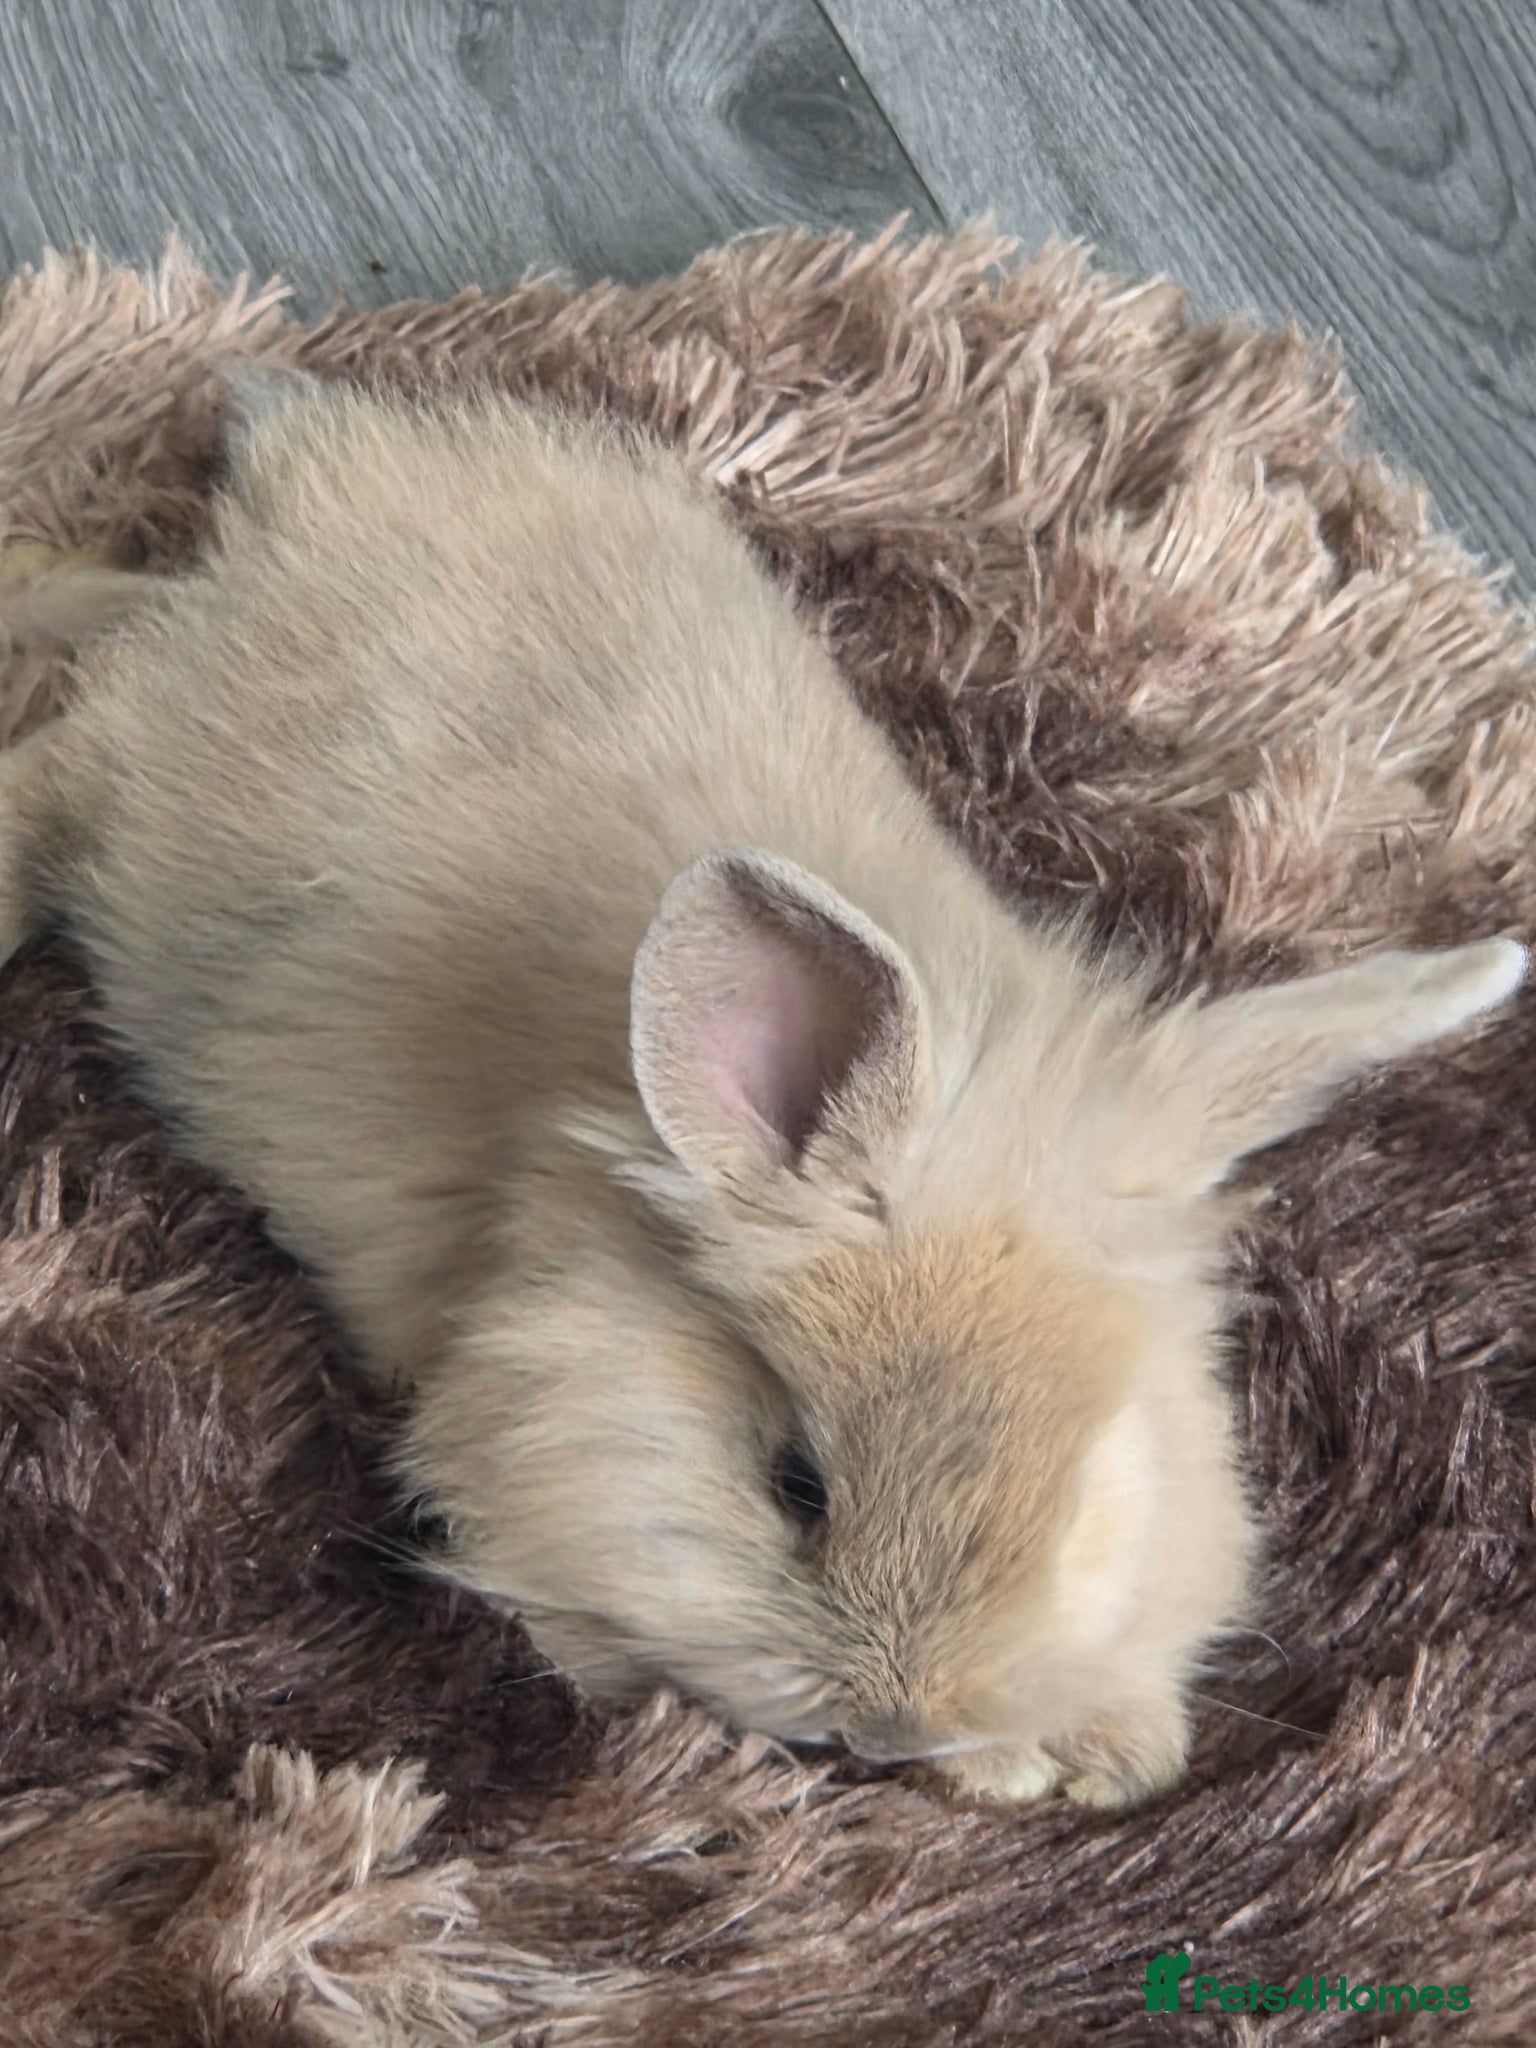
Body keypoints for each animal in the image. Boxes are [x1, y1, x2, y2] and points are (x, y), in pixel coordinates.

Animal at [0, 376, 1522, 1809]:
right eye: (796, 1483)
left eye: (1088, 1485)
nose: (896, 1730)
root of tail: (304, 480)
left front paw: (1091, 1753)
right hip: (132, 773)